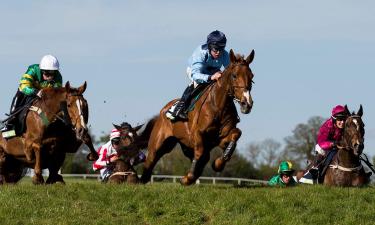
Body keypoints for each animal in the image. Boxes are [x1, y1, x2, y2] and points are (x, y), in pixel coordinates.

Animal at [140, 49, 258, 185]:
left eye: (251, 76)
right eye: (234, 75)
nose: (247, 103)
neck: (218, 106)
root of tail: (162, 112)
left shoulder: (220, 138)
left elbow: (236, 134)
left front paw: (218, 164)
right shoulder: (197, 135)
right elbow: (199, 152)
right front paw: (188, 177)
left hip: (184, 145)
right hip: (159, 144)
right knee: (150, 160)